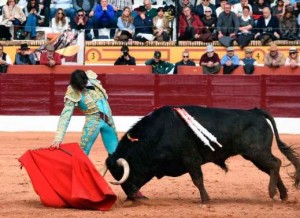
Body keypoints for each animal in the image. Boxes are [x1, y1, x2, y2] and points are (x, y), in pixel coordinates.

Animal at [105, 105, 300, 203]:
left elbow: (197, 179)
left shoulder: (191, 159)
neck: (159, 132)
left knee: (275, 164)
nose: (130, 197)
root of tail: (256, 112)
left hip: (256, 152)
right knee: (272, 167)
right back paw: (282, 195)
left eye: (122, 173)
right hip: (255, 155)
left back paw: (272, 192)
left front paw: (205, 200)